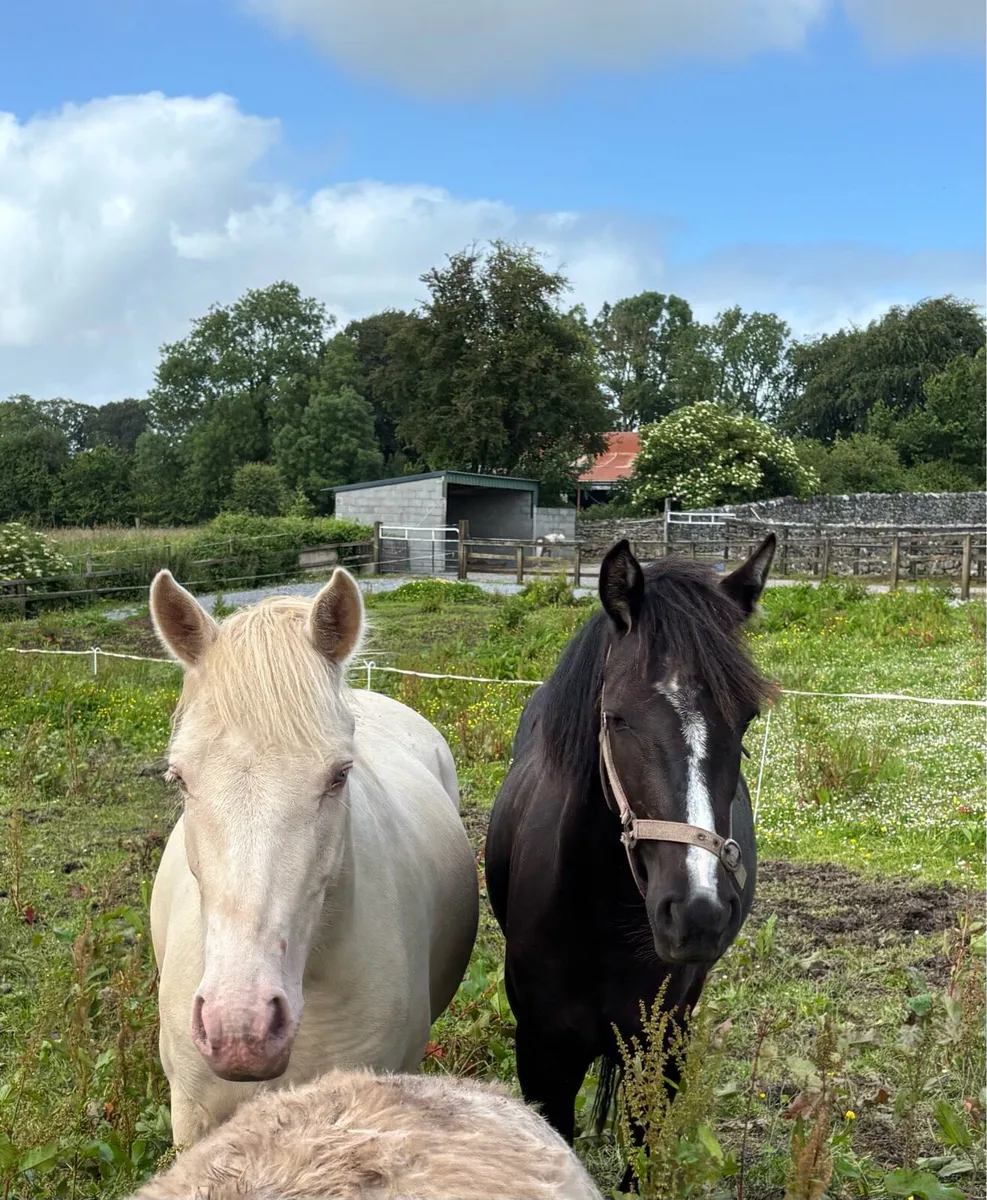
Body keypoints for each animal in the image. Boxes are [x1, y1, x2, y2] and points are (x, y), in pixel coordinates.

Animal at [484, 534, 776, 1175]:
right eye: (616, 717)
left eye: (746, 718)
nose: (697, 913)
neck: (599, 919)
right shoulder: (542, 1052)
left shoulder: (660, 1048)